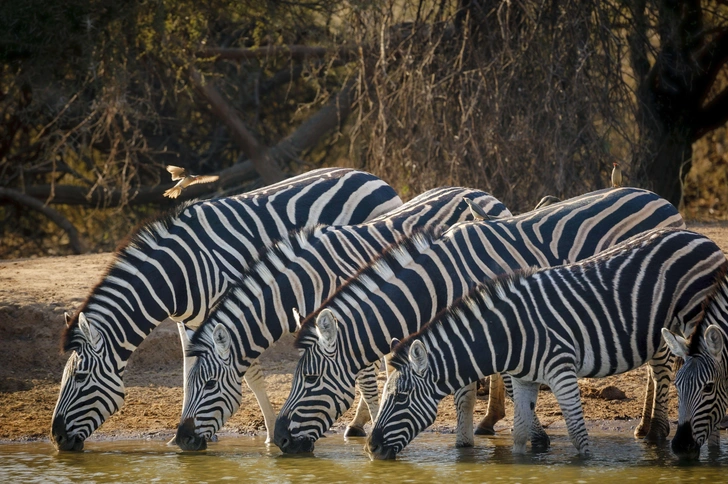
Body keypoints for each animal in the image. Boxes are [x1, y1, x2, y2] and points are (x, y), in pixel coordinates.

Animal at [49, 168, 404, 452]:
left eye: (79, 377)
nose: (57, 438)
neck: (177, 272)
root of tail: (372, 177)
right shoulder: (189, 322)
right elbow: (189, 369)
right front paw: (181, 432)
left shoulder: (231, 313)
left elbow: (251, 373)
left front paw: (269, 436)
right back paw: (358, 423)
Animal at [173, 186, 510, 450]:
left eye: (209, 384)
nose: (182, 439)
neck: (303, 282)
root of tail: (483, 194)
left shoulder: (349, 320)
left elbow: (366, 380)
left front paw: (372, 426)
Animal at [276, 186, 684, 454]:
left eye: (309, 379)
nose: (279, 438)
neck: (439, 283)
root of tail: (658, 197)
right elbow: (481, 386)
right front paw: (477, 439)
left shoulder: (492, 322)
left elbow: (478, 386)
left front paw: (501, 439)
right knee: (653, 363)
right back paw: (644, 426)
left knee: (662, 365)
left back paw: (657, 431)